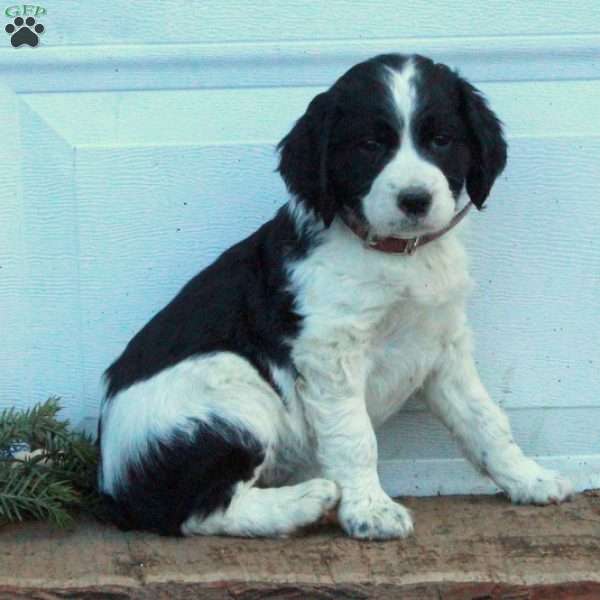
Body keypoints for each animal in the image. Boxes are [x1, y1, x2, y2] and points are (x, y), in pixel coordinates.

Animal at [97, 52, 572, 540]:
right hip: (232, 386)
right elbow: (355, 436)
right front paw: (370, 511)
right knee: (202, 511)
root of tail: (113, 487)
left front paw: (528, 478)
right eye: (370, 145)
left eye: (441, 140)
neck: (397, 254)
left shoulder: (443, 343)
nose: (415, 200)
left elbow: (485, 419)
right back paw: (307, 500)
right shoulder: (331, 351)